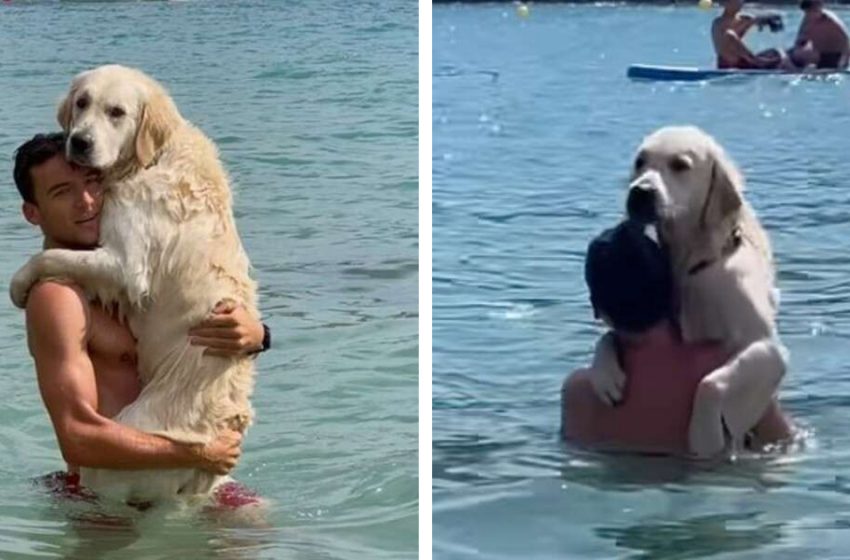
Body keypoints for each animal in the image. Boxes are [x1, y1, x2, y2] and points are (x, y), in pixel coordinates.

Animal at [9, 64, 256, 498]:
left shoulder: (126, 264)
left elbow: (50, 255)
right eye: (82, 103)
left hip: (118, 457)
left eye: (117, 112)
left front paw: (19, 284)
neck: (150, 159)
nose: (79, 142)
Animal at [588, 124, 784, 458]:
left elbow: (710, 383)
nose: (639, 192)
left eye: (680, 165)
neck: (697, 262)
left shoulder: (769, 347)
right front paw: (605, 374)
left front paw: (703, 436)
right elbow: (609, 335)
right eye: (640, 162)